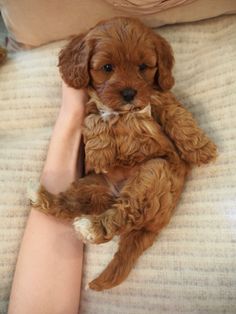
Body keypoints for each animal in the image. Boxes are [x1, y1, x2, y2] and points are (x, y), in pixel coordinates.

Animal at [32, 16, 216, 292]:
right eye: (107, 67)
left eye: (143, 67)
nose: (129, 94)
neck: (123, 112)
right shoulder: (90, 107)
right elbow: (93, 122)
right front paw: (99, 154)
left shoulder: (162, 99)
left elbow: (179, 117)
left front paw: (201, 149)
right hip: (93, 184)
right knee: (73, 205)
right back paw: (44, 200)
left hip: (153, 172)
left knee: (126, 214)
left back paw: (92, 227)